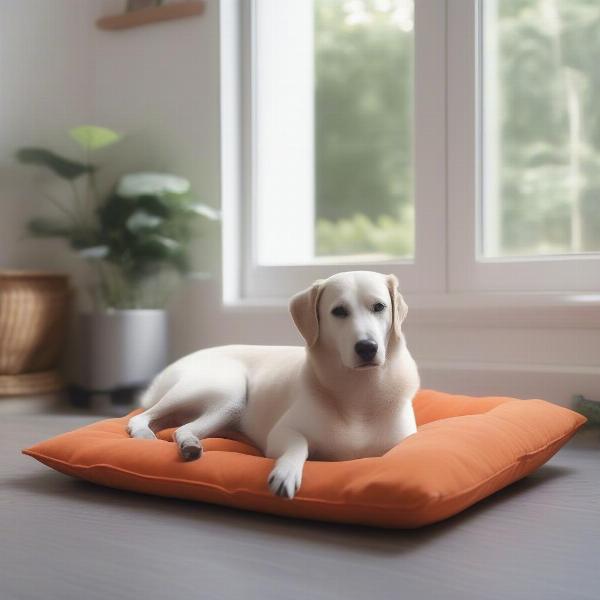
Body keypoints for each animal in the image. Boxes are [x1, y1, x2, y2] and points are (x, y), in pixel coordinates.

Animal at [127, 270, 418, 496]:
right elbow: (299, 445)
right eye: (339, 311)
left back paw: (190, 445)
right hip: (227, 392)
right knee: (147, 418)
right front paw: (286, 472)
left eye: (379, 307)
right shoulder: (281, 433)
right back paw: (148, 434)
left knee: (181, 428)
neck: (359, 392)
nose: (367, 347)